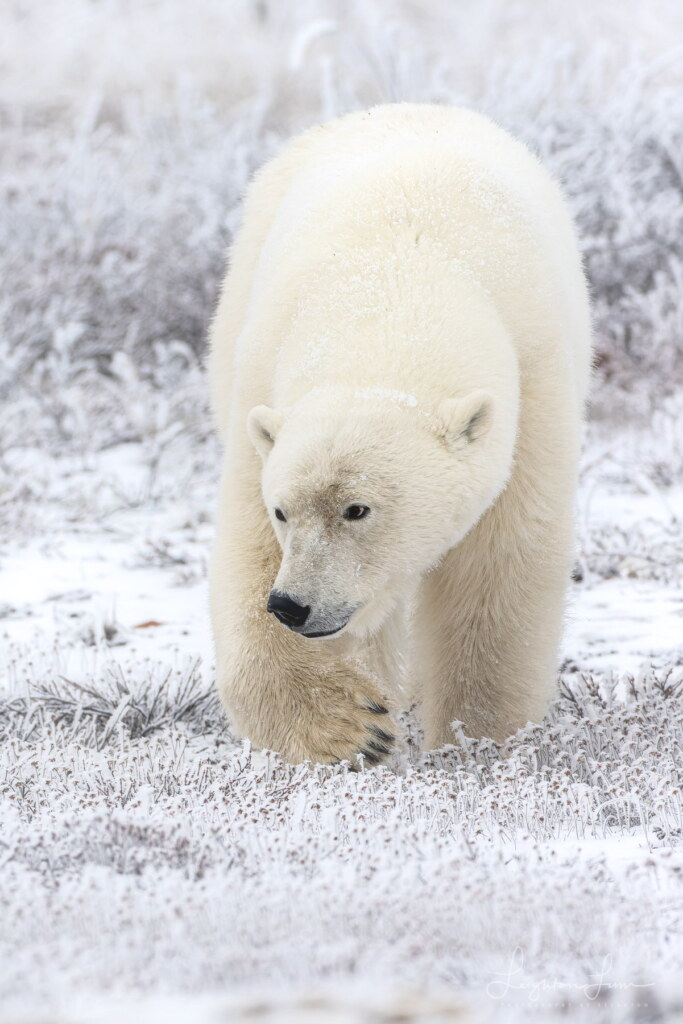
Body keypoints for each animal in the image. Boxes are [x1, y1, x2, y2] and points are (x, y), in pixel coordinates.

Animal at [208, 103, 593, 765]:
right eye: (283, 510)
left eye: (358, 508)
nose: (293, 605)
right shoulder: (259, 375)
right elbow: (248, 547)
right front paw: (352, 726)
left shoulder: (533, 385)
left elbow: (499, 569)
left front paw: (476, 741)